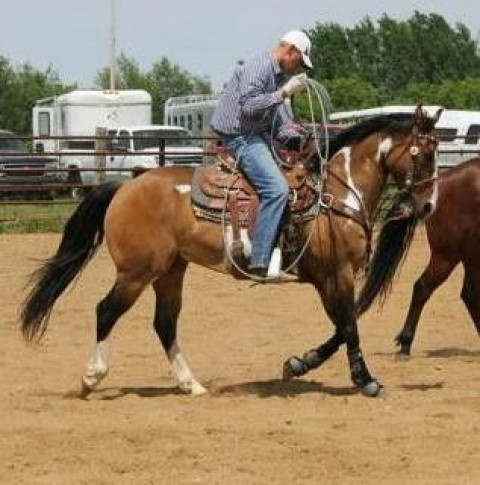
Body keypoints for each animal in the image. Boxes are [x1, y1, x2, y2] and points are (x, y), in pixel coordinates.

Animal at [20, 106, 440, 398]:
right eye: (421, 154)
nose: (427, 207)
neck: (336, 195)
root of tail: (126, 185)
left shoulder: (331, 278)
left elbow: (344, 324)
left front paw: (298, 364)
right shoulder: (334, 274)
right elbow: (349, 325)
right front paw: (365, 380)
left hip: (171, 270)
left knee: (164, 323)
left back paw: (190, 384)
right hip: (137, 272)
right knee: (107, 311)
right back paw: (90, 379)